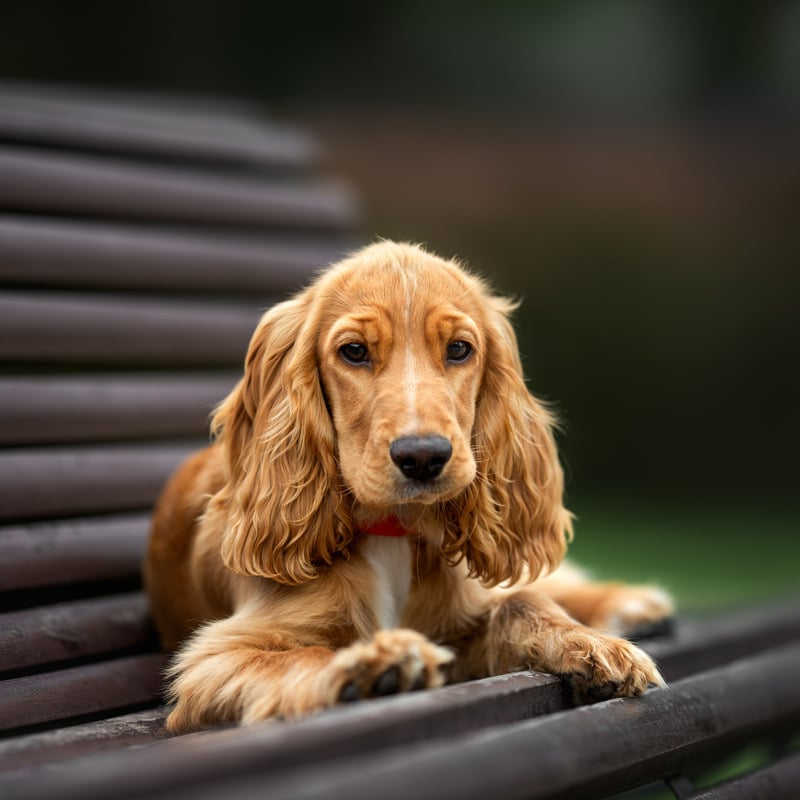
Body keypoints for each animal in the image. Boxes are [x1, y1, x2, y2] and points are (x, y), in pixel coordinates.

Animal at [145, 242, 676, 732]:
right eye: (354, 351)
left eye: (459, 348)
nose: (423, 457)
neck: (392, 531)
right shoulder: (216, 658)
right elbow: (298, 656)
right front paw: (370, 666)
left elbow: (520, 601)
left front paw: (591, 643)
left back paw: (627, 605)